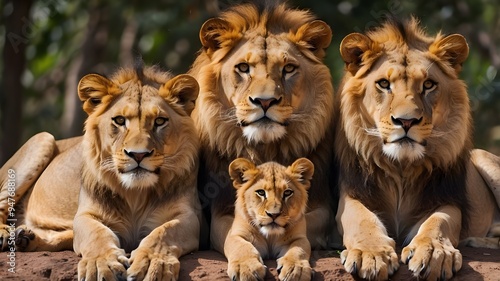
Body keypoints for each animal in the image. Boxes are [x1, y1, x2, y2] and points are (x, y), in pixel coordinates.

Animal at [0, 64, 203, 278]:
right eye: (120, 120)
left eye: (160, 121)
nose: (138, 155)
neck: (136, 194)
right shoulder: (85, 214)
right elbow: (97, 234)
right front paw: (101, 264)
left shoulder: (189, 216)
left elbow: (162, 233)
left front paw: (151, 262)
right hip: (43, 138)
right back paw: (7, 235)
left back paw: (25, 238)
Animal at [189, 1, 338, 253]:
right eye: (243, 68)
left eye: (288, 68)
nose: (265, 101)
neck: (265, 147)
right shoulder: (220, 212)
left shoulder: (322, 207)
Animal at [332, 15, 500, 280]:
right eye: (384, 84)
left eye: (429, 85)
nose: (406, 121)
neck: (401, 168)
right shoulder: (352, 194)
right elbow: (362, 219)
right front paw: (371, 254)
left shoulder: (447, 199)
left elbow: (438, 222)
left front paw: (433, 252)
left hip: (483, 158)